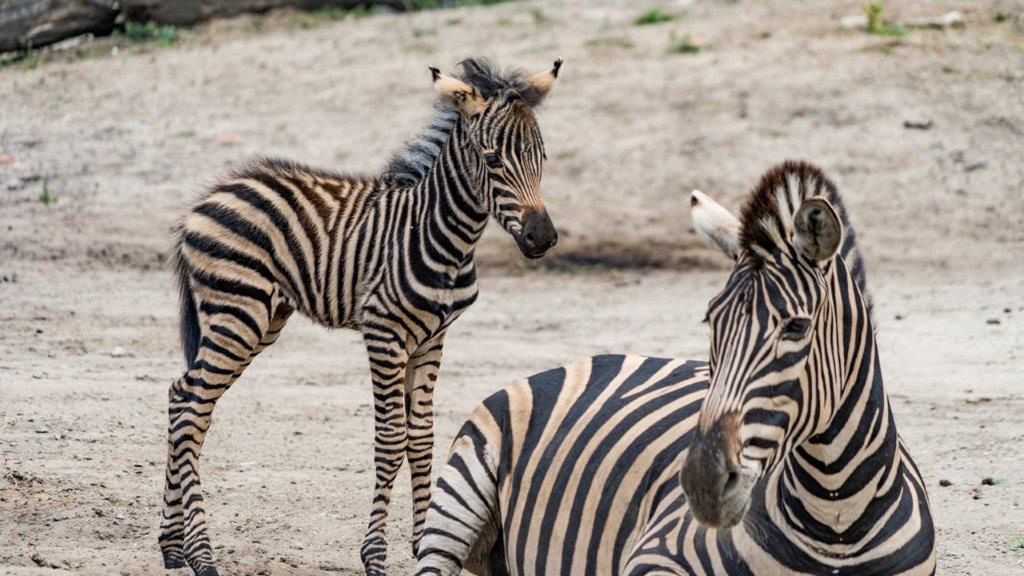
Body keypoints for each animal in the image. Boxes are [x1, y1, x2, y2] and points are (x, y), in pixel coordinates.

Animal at [157, 57, 569, 573]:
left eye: (542, 158)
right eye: (493, 160)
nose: (543, 238)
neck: (440, 235)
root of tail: (204, 201)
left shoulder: (432, 338)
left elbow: (421, 438)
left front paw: (422, 540)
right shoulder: (384, 332)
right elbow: (391, 440)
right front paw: (374, 554)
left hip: (260, 319)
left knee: (183, 397)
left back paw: (172, 545)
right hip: (238, 314)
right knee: (193, 411)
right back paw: (201, 553)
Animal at [415, 161, 937, 573]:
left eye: (796, 327)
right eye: (711, 322)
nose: (702, 485)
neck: (837, 522)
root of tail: (593, 357)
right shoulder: (656, 553)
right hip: (460, 492)